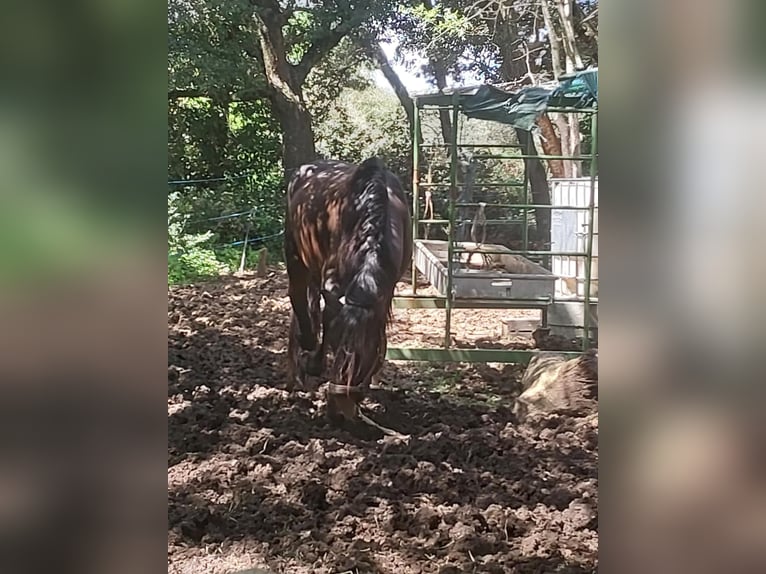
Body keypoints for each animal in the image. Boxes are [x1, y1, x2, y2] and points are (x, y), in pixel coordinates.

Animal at [284, 158, 414, 424]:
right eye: (338, 345)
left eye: (367, 354)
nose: (340, 407)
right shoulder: (332, 283)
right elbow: (327, 319)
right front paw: (314, 363)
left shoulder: (385, 292)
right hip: (295, 255)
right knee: (298, 299)